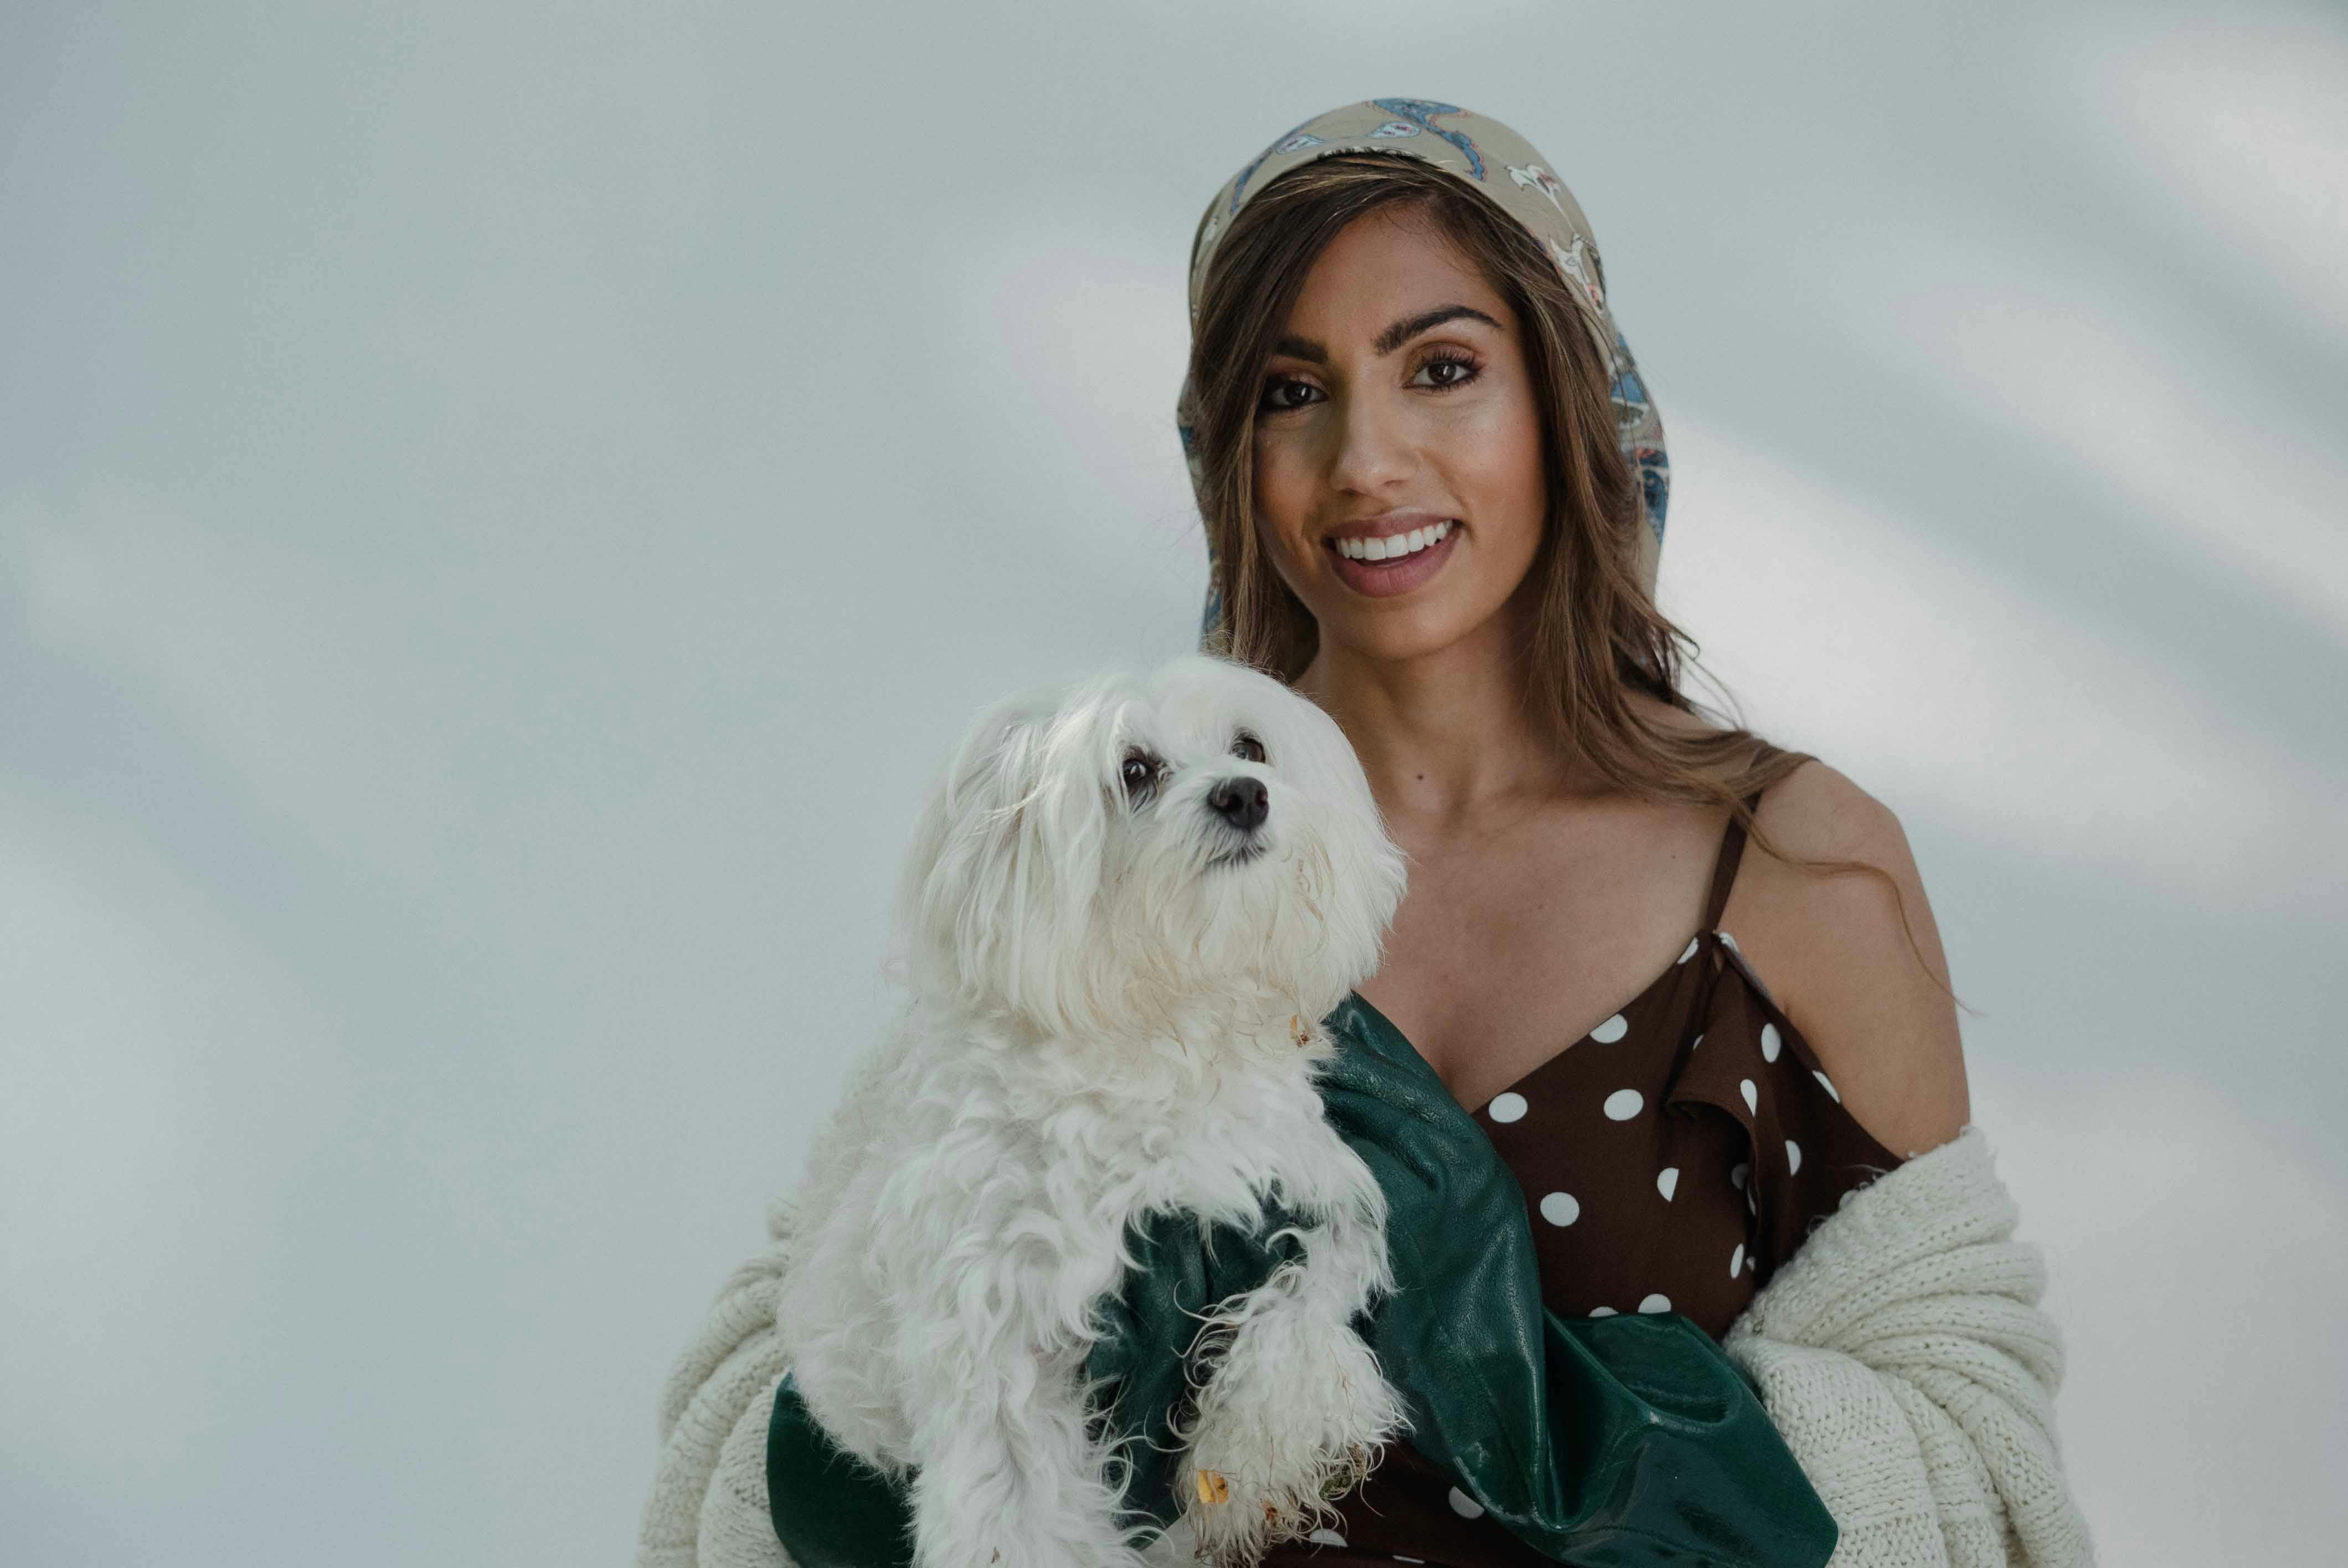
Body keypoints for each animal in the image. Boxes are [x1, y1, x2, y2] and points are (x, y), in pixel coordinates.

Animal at [779, 652, 1418, 1568]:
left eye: (1251, 747)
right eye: (1135, 771)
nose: (1244, 795)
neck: (1164, 1034)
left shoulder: (1298, 1187)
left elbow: (1310, 1290)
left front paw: (1261, 1447)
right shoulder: (997, 1327)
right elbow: (1019, 1503)